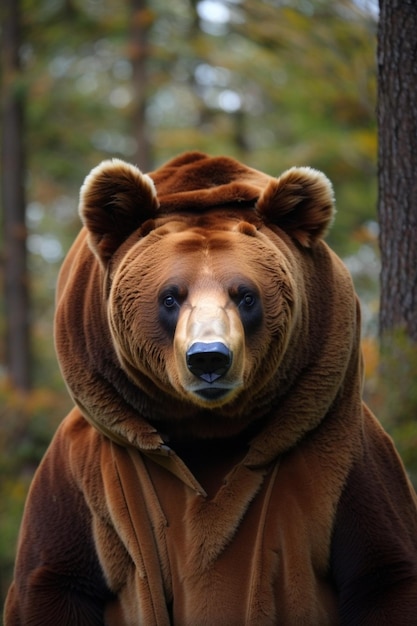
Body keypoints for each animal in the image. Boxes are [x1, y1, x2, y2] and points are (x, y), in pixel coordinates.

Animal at [3, 152, 416, 624]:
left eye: (245, 295)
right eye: (170, 296)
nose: (208, 358)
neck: (207, 428)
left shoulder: (338, 451)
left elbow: (382, 569)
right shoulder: (79, 470)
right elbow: (54, 575)